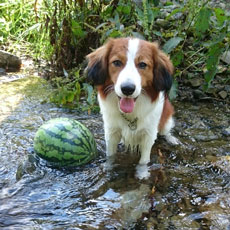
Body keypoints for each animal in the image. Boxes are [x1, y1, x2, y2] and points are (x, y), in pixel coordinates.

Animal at [85, 37, 177, 167]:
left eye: (142, 64)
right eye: (117, 62)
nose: (127, 89)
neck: (131, 115)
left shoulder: (148, 135)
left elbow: (143, 162)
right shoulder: (111, 132)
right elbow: (110, 157)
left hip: (167, 118)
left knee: (166, 131)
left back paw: (171, 139)